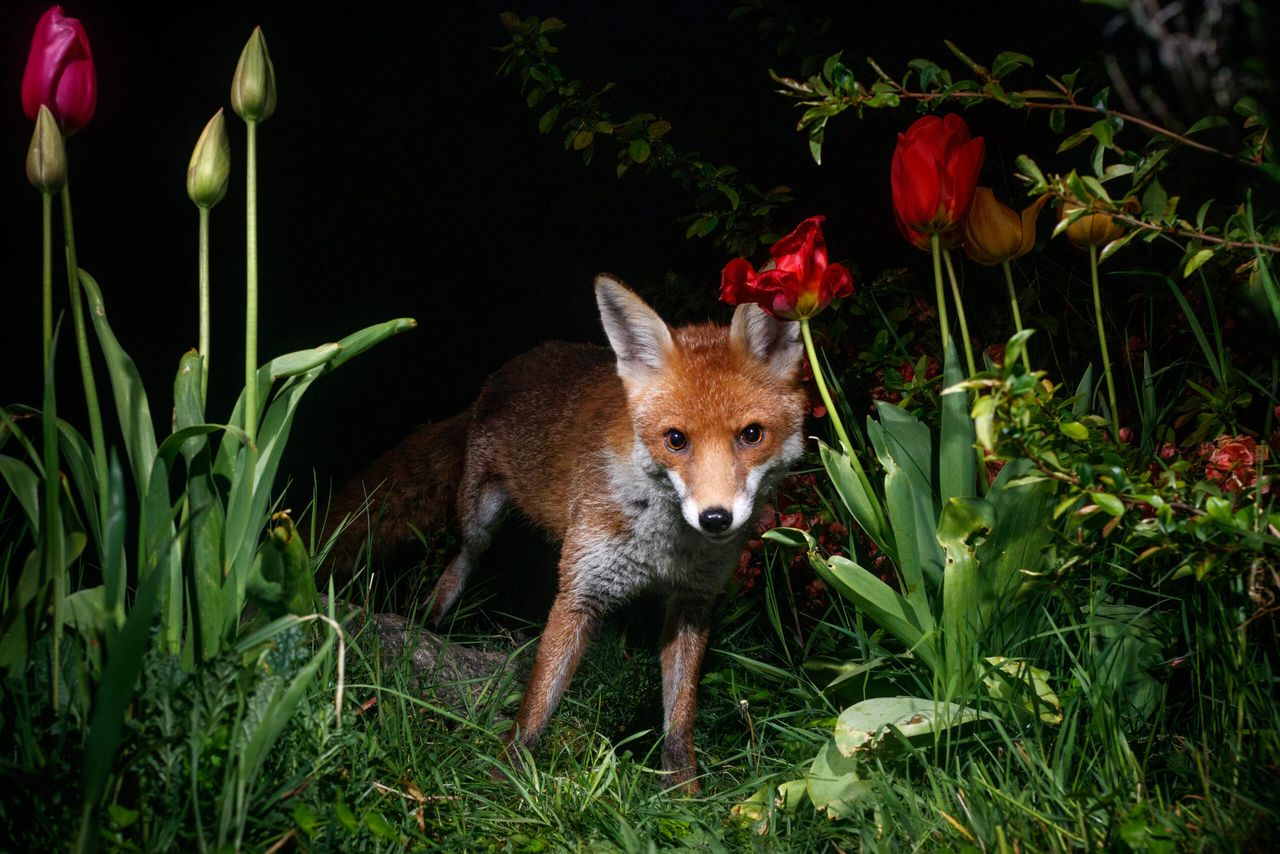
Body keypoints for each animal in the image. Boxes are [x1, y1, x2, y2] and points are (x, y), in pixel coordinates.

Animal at [325, 277, 803, 793]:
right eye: (675, 440)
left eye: (752, 435)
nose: (716, 518)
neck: (665, 548)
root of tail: (507, 371)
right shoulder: (580, 590)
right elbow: (538, 702)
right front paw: (505, 777)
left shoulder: (693, 600)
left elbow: (680, 720)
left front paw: (684, 794)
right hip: (481, 515)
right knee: (463, 559)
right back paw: (431, 620)